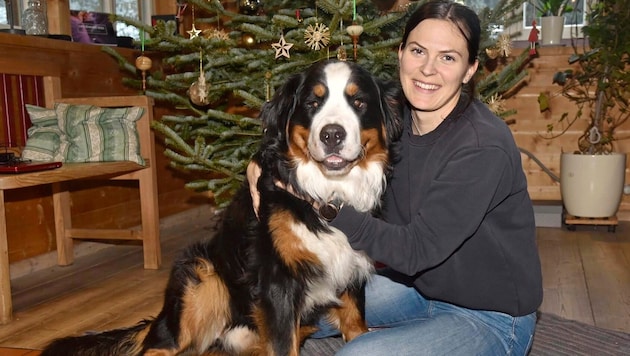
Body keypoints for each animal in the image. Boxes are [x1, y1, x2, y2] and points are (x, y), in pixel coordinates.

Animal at [40, 59, 404, 354]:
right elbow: (283, 345)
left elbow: (356, 323)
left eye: (359, 102)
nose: (332, 135)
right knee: (160, 346)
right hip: (202, 277)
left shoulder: (350, 267)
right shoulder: (276, 282)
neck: (327, 193)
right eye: (313, 103)